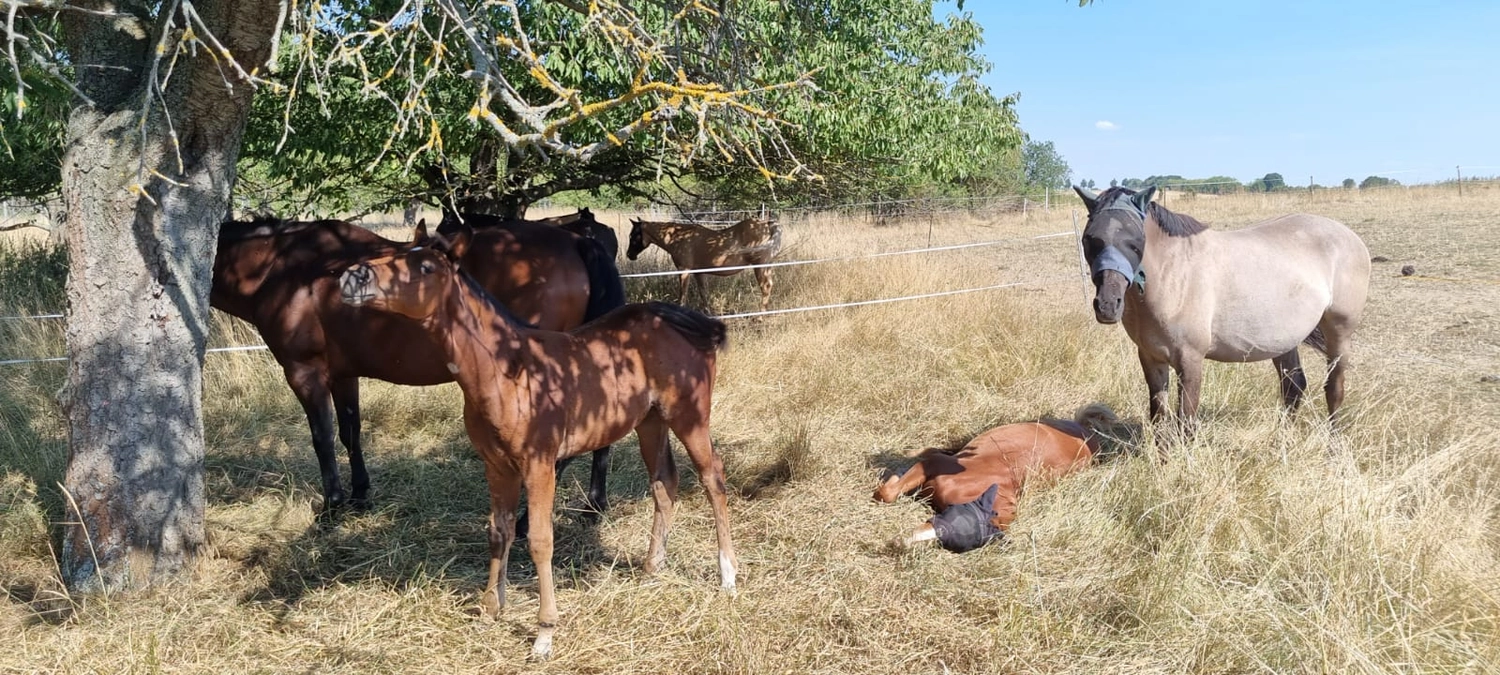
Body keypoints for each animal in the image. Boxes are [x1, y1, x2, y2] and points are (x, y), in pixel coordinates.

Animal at [210, 217, 625, 514]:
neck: (281, 269)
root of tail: (576, 241)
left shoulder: (304, 373)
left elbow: (322, 438)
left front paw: (332, 507)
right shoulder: (343, 375)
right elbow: (350, 432)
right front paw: (360, 494)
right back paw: (594, 504)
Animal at [338, 240, 737, 659]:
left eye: (427, 267)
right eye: (394, 255)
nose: (353, 277)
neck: (507, 372)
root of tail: (693, 322)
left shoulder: (539, 464)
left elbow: (540, 540)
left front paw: (544, 634)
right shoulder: (497, 467)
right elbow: (499, 531)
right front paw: (490, 609)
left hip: (690, 417)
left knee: (713, 479)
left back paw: (727, 575)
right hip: (650, 422)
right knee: (664, 483)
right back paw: (651, 567)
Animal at [626, 216, 782, 312]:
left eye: (634, 235)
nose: (629, 255)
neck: (678, 237)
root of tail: (768, 224)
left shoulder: (684, 271)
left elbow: (683, 294)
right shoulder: (698, 273)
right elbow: (703, 294)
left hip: (760, 267)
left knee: (766, 287)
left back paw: (759, 318)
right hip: (766, 266)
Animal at [1074, 186, 1370, 430]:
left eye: (1135, 242)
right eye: (1089, 239)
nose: (1107, 305)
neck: (1175, 274)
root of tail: (1351, 237)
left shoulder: (1190, 360)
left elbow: (1186, 422)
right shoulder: (1151, 358)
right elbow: (1159, 417)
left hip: (1339, 333)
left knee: (1334, 389)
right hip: (1284, 340)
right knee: (1293, 387)